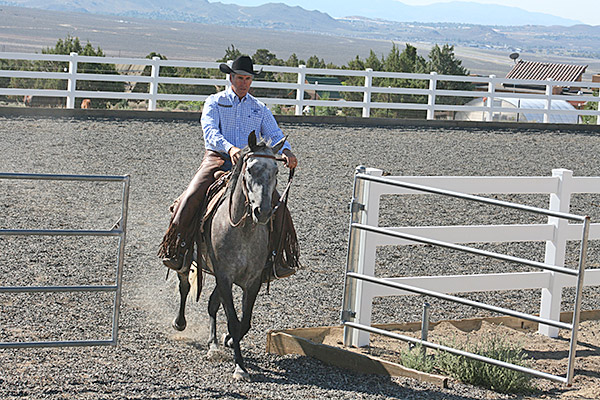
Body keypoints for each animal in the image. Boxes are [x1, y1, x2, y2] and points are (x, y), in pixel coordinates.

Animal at [173, 132, 286, 382]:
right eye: (250, 169)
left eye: (276, 171)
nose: (263, 212)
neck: (242, 230)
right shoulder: (224, 276)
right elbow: (234, 320)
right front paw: (240, 367)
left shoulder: (252, 281)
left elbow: (245, 321)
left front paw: (229, 340)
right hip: (186, 261)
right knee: (185, 287)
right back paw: (180, 323)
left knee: (212, 304)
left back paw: (214, 344)